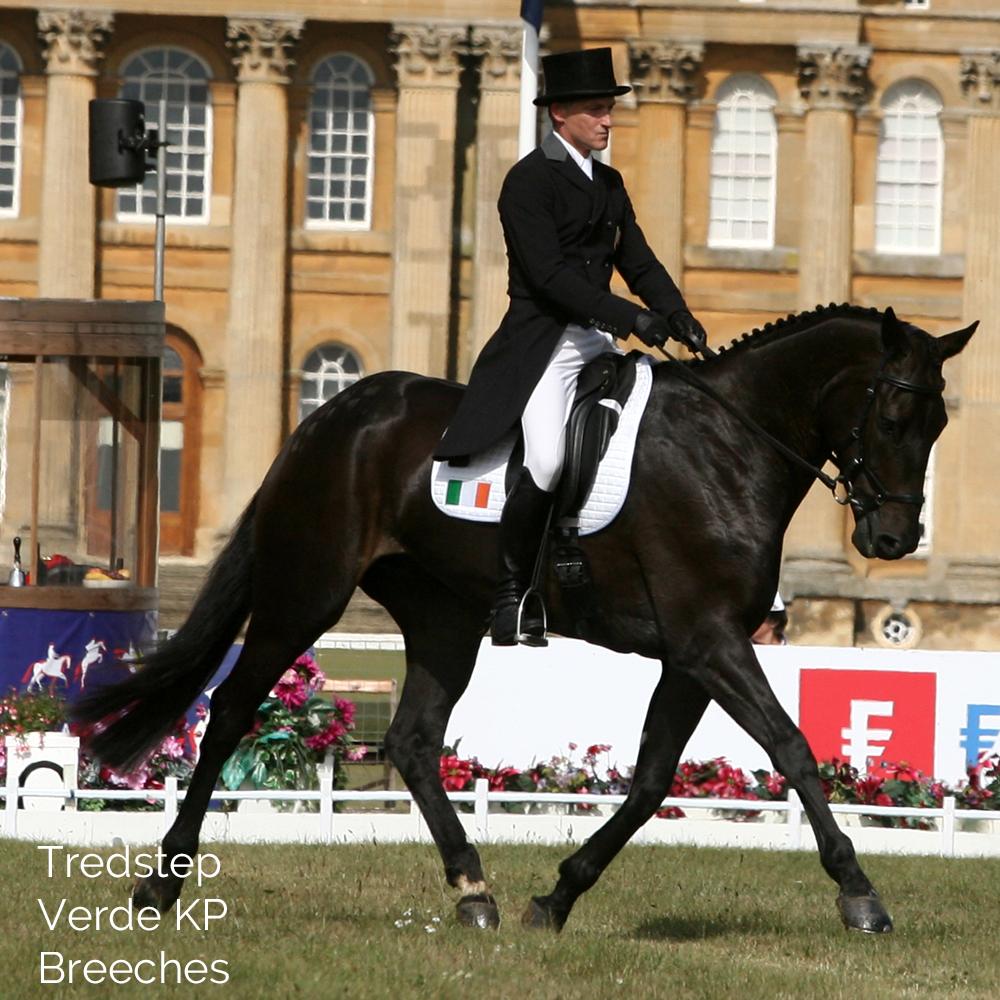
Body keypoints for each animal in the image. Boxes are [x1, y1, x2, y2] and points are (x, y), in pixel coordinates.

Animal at [76, 304, 976, 936]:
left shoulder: (692, 653)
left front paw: (558, 896)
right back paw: (161, 883)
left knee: (413, 739)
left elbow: (653, 782)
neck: (729, 447)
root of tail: (331, 415)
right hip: (308, 592)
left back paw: (474, 891)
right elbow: (791, 748)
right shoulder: (710, 641)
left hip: (443, 615)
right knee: (231, 710)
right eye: (892, 416)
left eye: (939, 425)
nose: (893, 541)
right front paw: (859, 894)